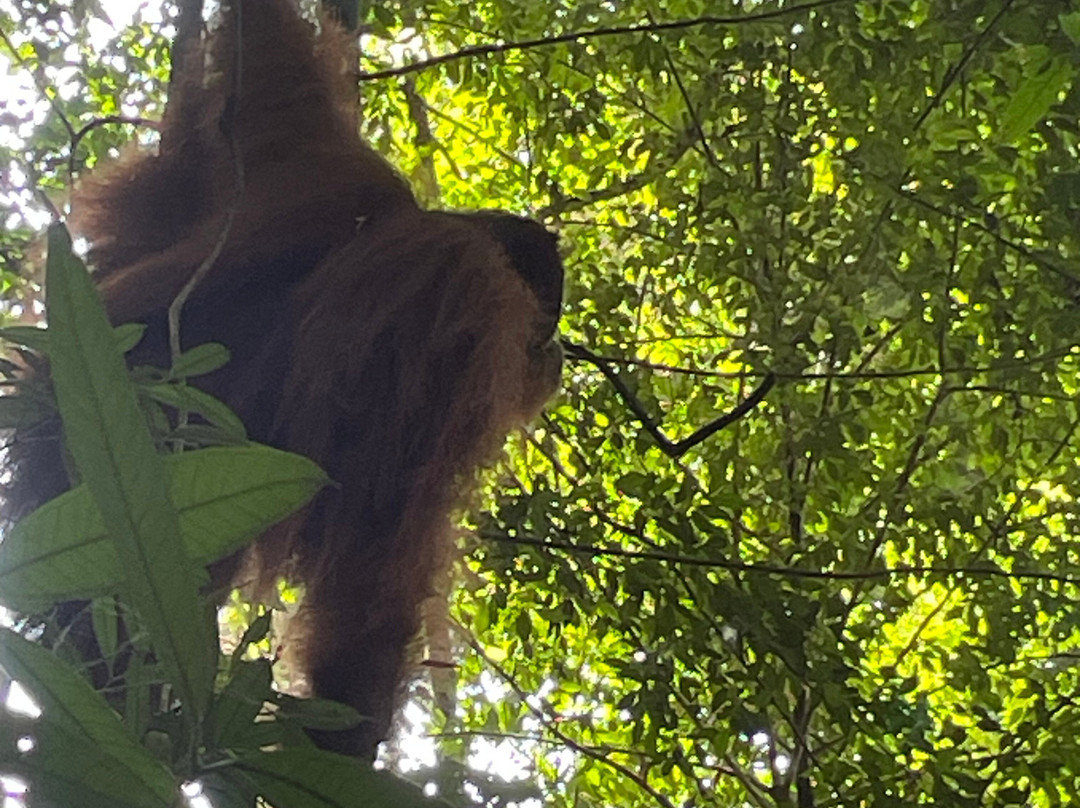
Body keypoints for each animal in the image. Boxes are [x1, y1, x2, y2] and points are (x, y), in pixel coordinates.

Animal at [4, 0, 563, 760]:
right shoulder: (464, 301)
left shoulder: (316, 152)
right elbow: (376, 542)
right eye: (543, 323)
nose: (556, 352)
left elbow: (263, 67)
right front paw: (346, 739)